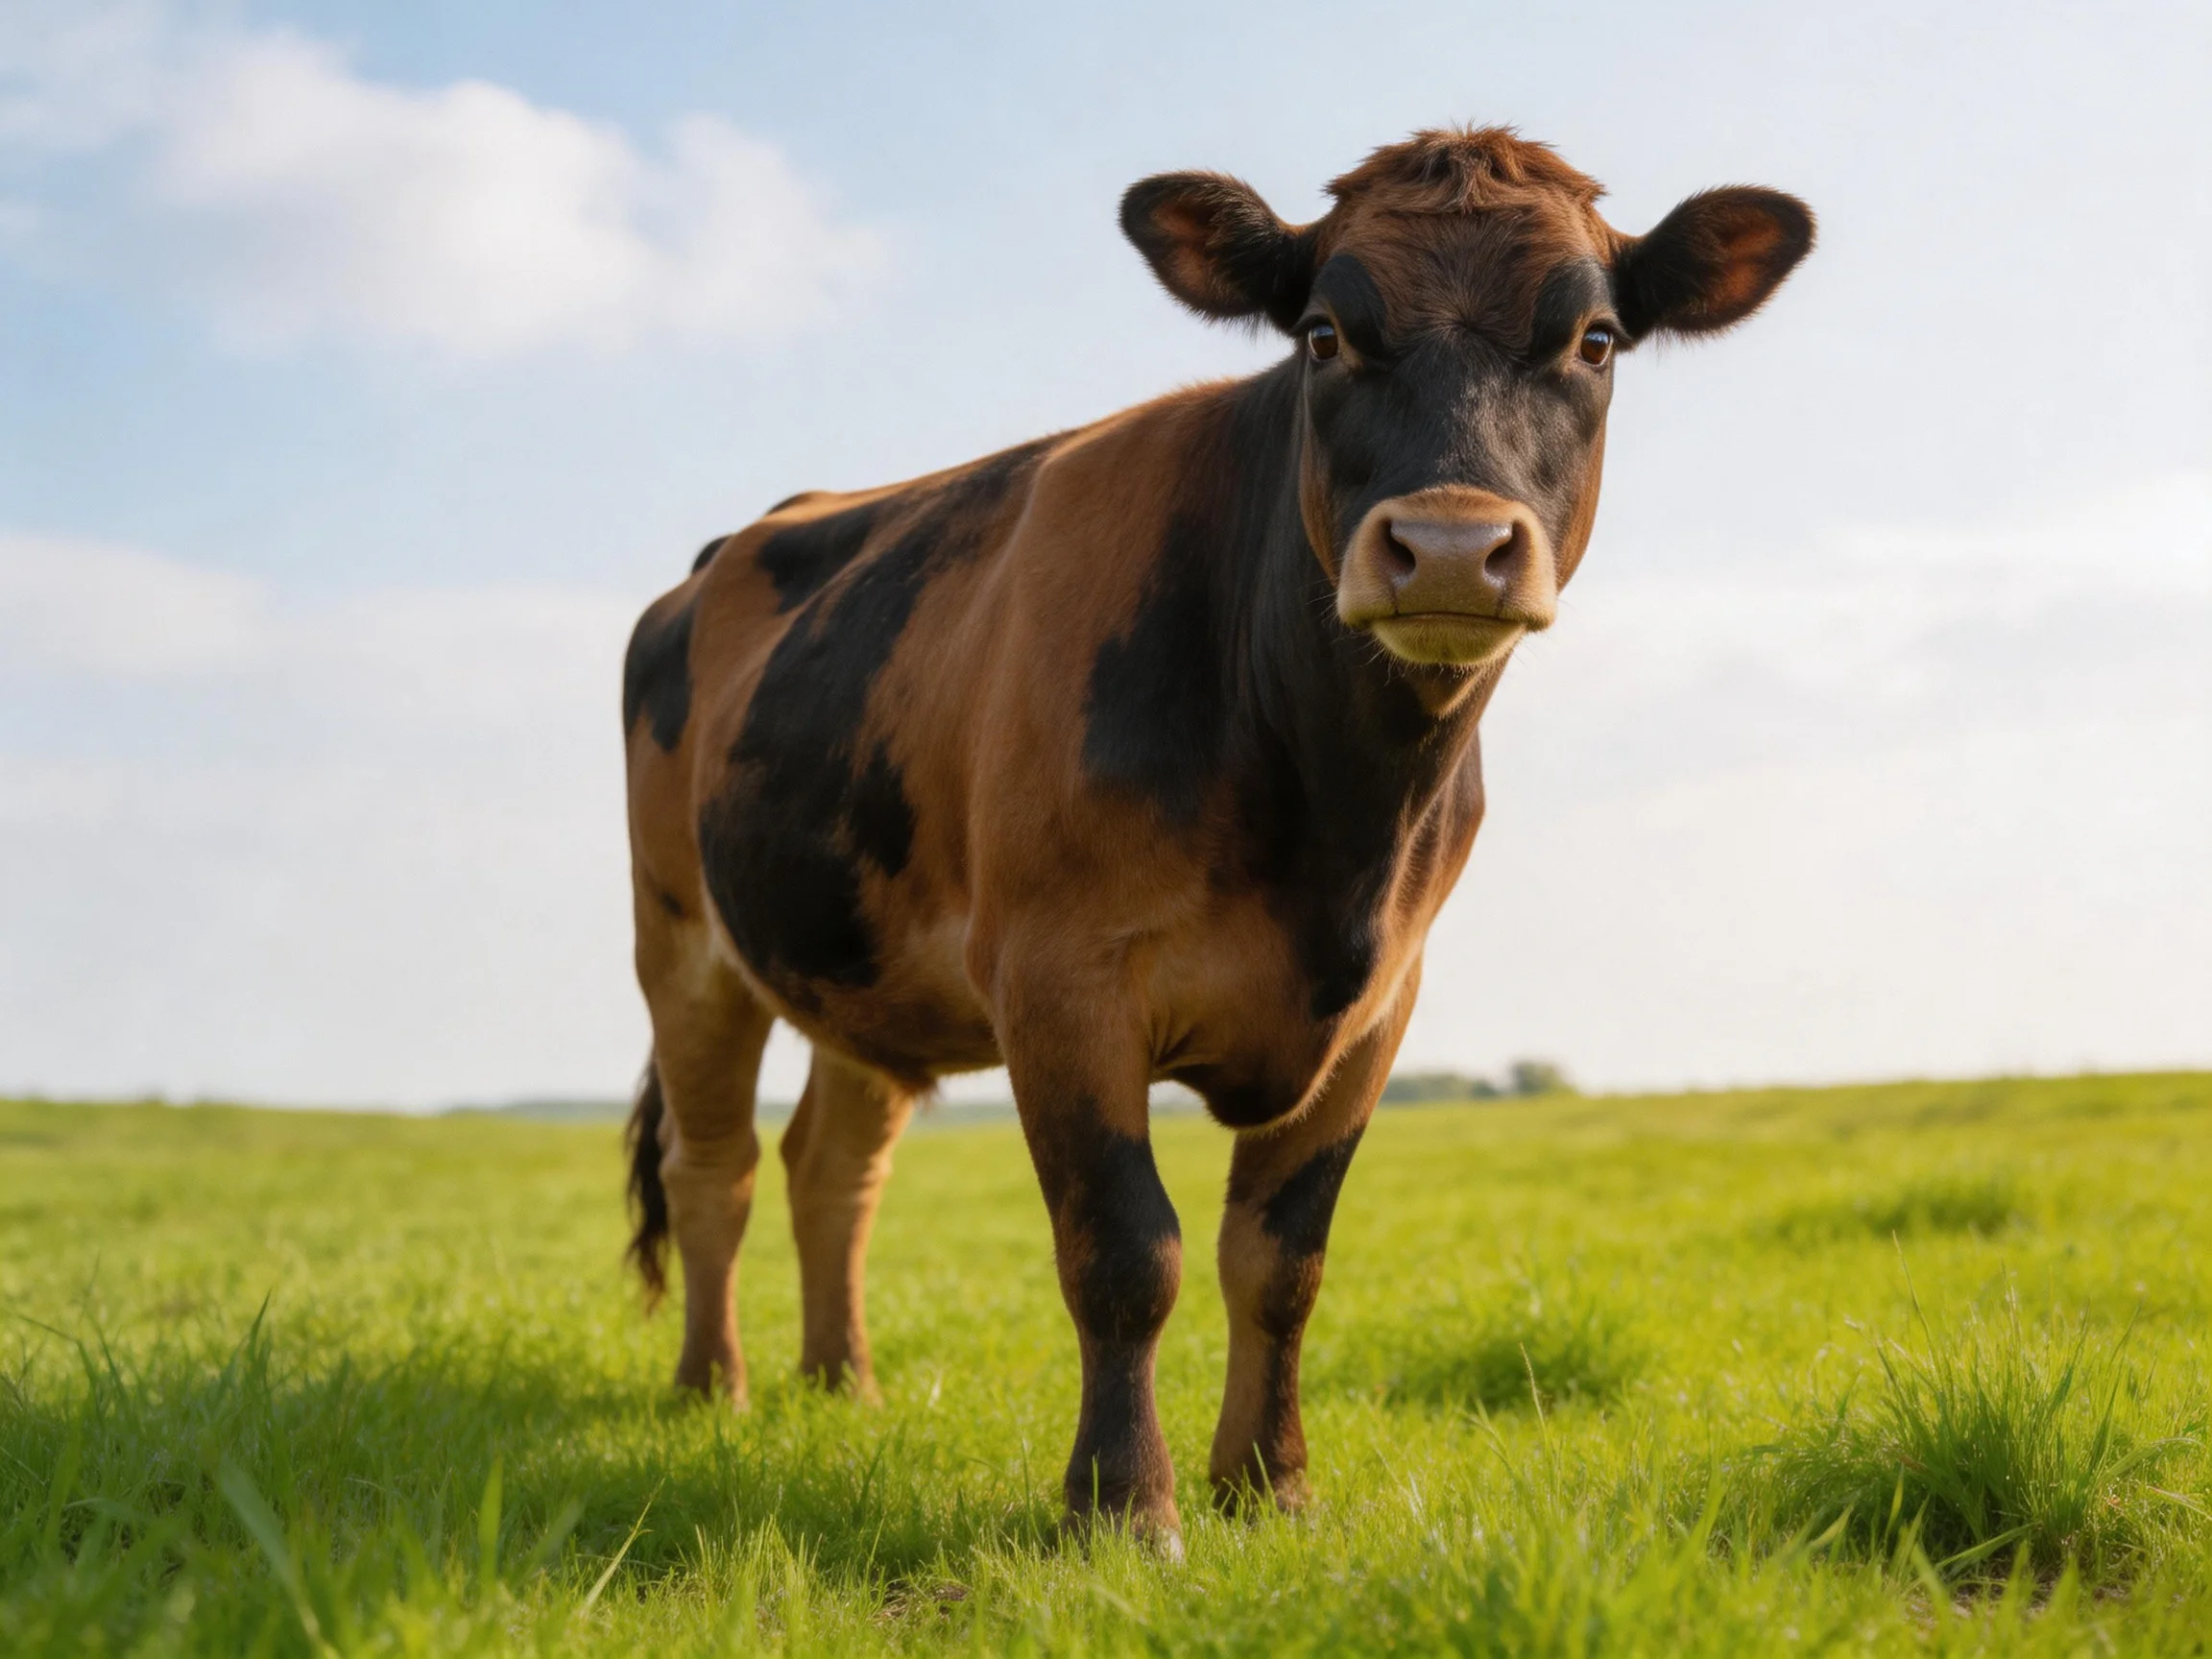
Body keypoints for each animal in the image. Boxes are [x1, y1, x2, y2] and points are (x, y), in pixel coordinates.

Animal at [620, 126, 1812, 1548]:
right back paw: (714, 1391)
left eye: (1595, 339)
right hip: (683, 943)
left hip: (859, 959)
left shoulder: (1380, 1004)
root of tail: (735, 542)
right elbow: (1127, 1252)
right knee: (716, 1165)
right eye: (1323, 335)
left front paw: (1269, 1484)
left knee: (832, 1165)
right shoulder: (1061, 978)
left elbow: (1281, 1260)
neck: (1334, 819)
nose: (1450, 548)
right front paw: (1124, 1509)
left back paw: (841, 1383)